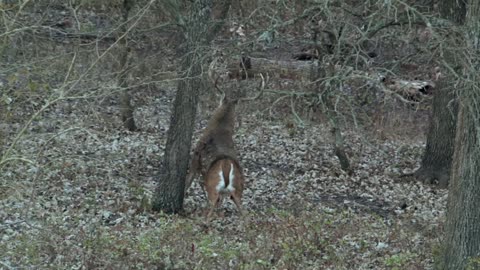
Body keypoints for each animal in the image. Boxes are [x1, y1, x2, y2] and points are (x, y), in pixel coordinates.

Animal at [185, 73, 266, 220]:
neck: (219, 128)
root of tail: (227, 166)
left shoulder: (195, 159)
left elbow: (187, 183)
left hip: (213, 185)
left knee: (211, 205)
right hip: (238, 187)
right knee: (242, 210)